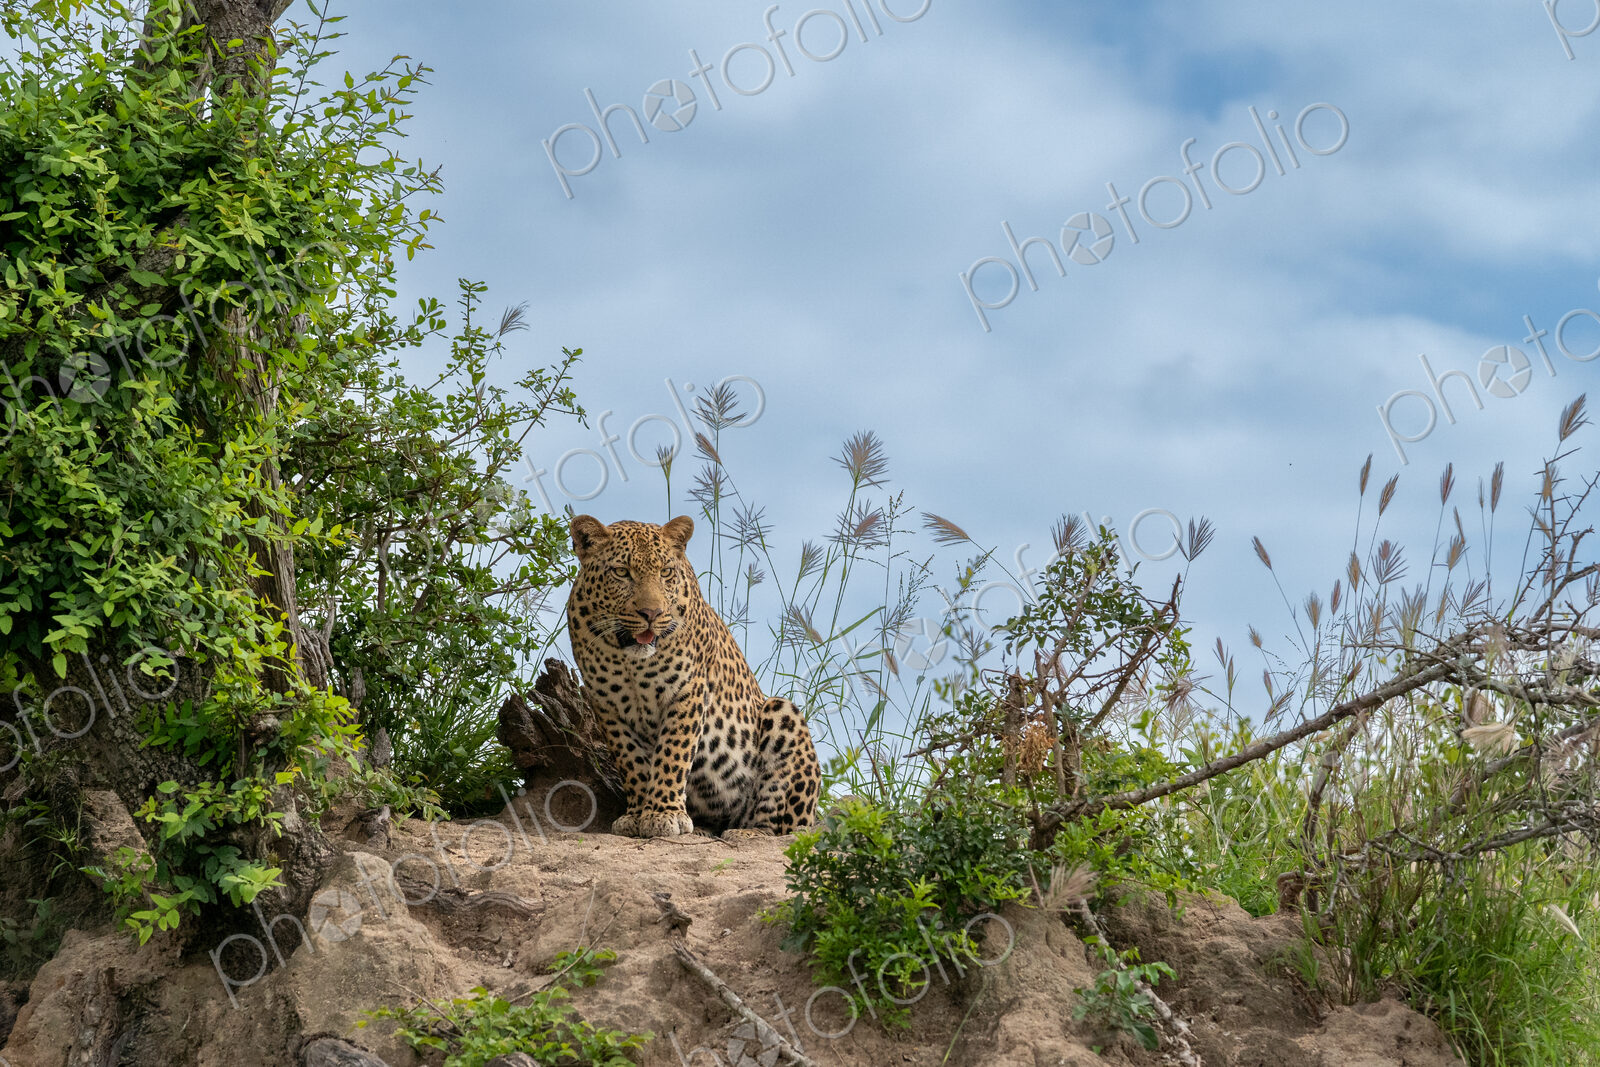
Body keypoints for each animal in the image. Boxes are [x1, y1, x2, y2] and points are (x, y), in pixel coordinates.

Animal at [566, 513, 822, 839]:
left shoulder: (687, 691)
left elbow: (672, 753)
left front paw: (663, 813)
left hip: (781, 715)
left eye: (665, 572)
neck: (630, 660)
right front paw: (636, 814)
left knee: (782, 827)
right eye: (622, 572)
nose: (651, 613)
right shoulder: (606, 705)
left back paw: (746, 833)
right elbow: (631, 761)